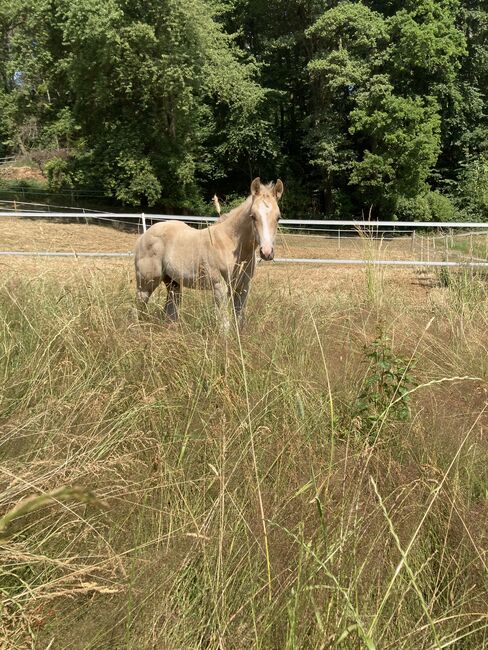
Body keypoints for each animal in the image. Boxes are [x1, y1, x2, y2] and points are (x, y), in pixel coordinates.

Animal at [135, 177, 284, 330]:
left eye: (278, 217)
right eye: (253, 216)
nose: (266, 252)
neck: (230, 243)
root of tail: (144, 235)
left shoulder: (243, 288)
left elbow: (239, 319)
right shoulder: (219, 287)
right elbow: (224, 324)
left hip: (173, 283)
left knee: (170, 311)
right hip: (146, 282)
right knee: (139, 306)